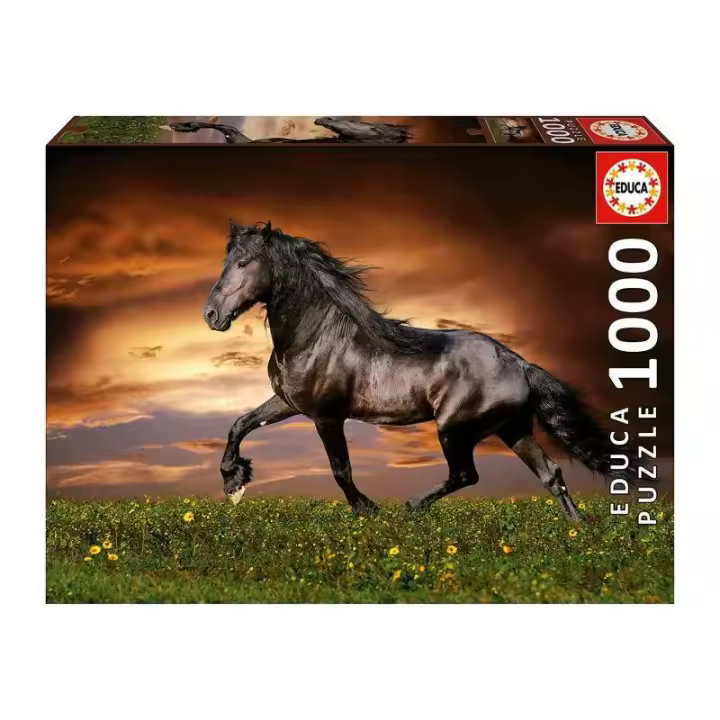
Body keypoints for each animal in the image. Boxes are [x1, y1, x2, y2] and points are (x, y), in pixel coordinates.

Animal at [203, 221, 638, 520]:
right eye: (225, 261)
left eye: (243, 262)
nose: (211, 315)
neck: (316, 337)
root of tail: (520, 363)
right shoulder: (288, 402)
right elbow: (240, 425)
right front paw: (234, 481)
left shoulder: (327, 416)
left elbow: (340, 469)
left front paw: (368, 510)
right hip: (512, 429)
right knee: (550, 474)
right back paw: (577, 532)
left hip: (455, 429)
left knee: (466, 475)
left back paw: (412, 507)